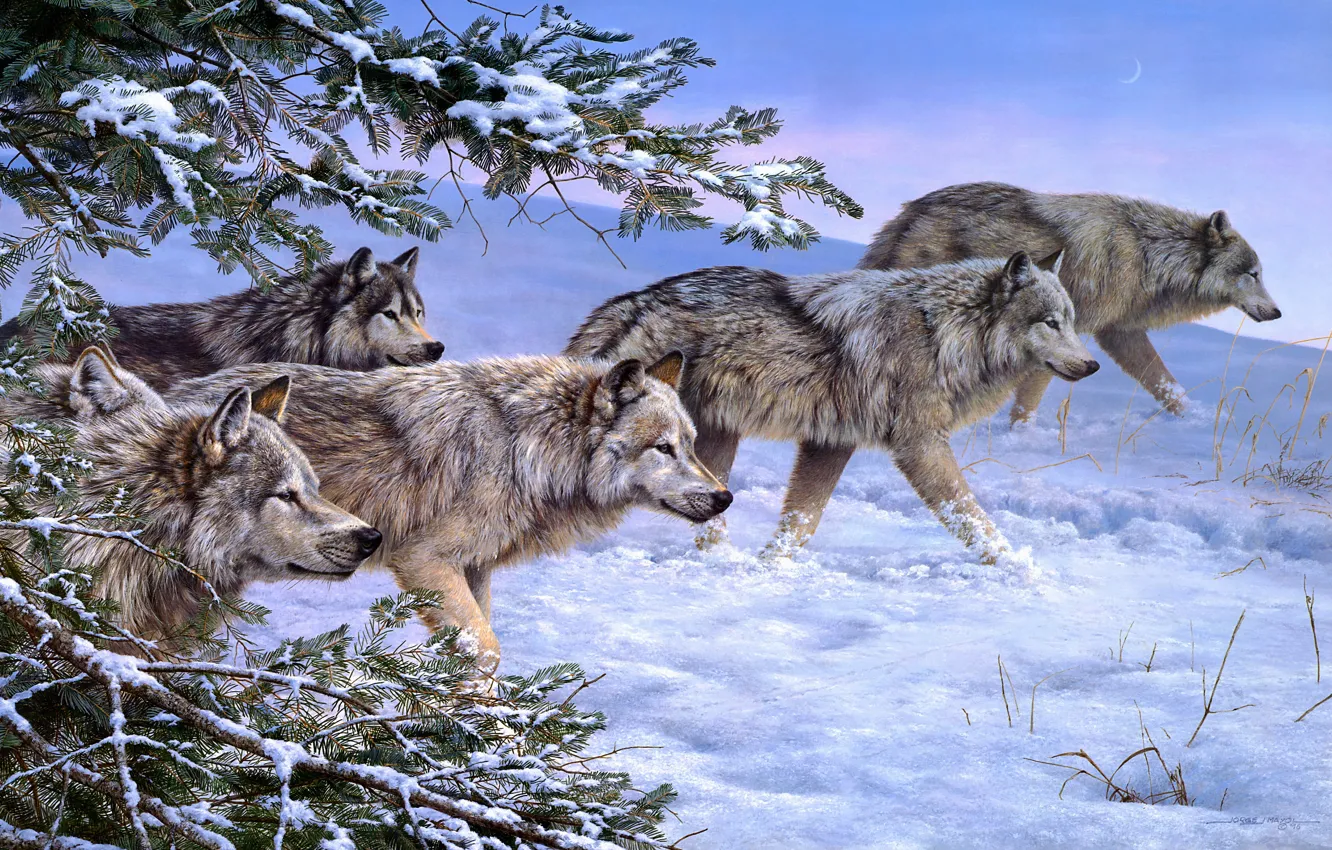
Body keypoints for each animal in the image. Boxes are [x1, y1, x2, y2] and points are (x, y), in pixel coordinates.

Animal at [166, 352, 732, 664]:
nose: (725, 497)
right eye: (663, 448)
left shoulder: (474, 568)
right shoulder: (424, 560)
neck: (525, 447)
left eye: (691, 444)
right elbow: (487, 651)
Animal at [566, 254, 1098, 560]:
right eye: (1050, 322)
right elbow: (972, 518)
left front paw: (770, 570)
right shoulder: (919, 445)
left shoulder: (831, 442)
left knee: (712, 517)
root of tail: (632, 302)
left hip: (711, 446)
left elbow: (801, 523)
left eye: (1071, 321)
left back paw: (721, 565)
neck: (941, 335)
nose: (1093, 365)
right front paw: (1022, 576)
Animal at [858, 182, 1280, 423]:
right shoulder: (1061, 334)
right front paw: (1019, 435)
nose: (1277, 312)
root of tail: (911, 209)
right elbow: (1031, 395)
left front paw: (1193, 422)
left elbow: (1165, 384)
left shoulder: (1118, 332)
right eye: (1253, 274)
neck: (1148, 257)